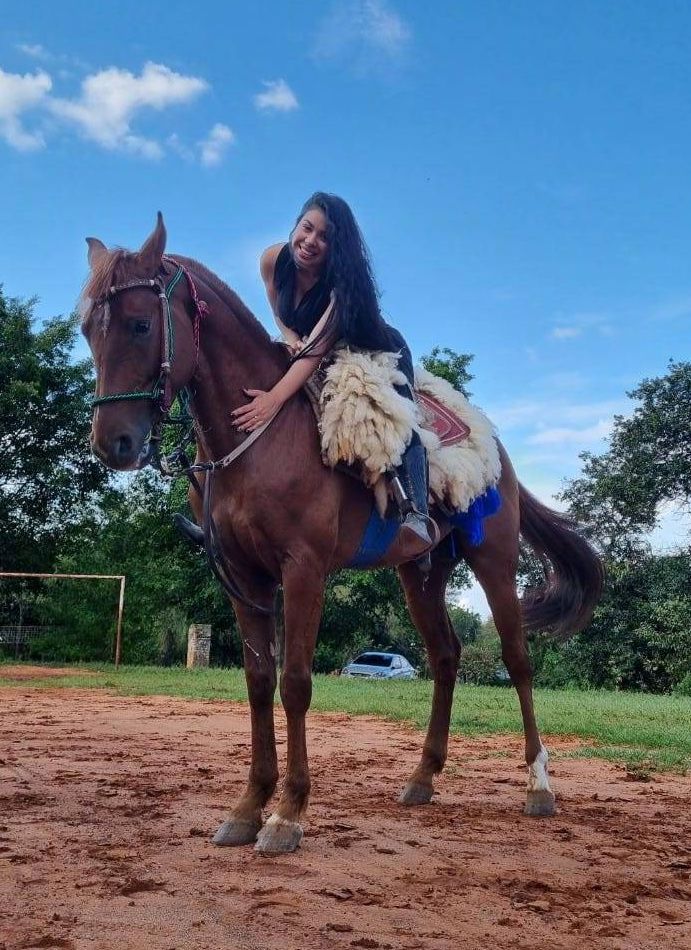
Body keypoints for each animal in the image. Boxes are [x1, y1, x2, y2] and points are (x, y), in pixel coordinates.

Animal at [81, 214, 603, 854]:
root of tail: (495, 447)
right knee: (446, 656)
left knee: (518, 661)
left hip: (495, 563)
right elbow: (258, 682)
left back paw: (538, 784)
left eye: (139, 323)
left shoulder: (303, 569)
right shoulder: (243, 579)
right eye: (87, 330)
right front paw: (248, 806)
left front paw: (287, 815)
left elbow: (296, 684)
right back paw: (422, 777)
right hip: (420, 574)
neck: (256, 443)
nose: (114, 444)